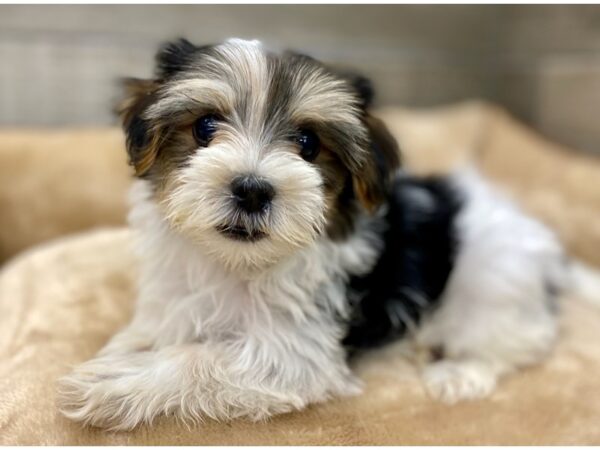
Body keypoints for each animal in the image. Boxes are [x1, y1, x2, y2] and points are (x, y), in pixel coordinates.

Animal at [58, 37, 568, 428]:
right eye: (204, 126)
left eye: (308, 144)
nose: (252, 189)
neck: (236, 265)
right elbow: (157, 327)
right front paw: (124, 350)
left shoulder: (298, 351)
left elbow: (201, 358)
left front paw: (115, 384)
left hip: (492, 279)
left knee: (512, 340)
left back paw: (459, 374)